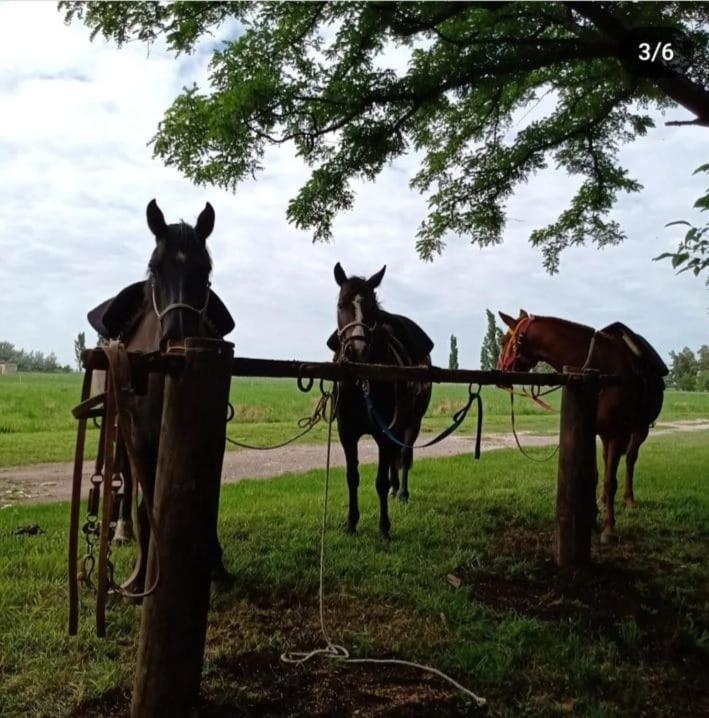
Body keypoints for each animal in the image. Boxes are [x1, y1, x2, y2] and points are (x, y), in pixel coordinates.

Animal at [87, 200, 234, 592]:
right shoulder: (141, 439)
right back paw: (122, 531)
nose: (178, 339)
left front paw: (215, 564)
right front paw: (142, 579)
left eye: (205, 268)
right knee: (125, 477)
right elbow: (147, 502)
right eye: (155, 267)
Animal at [326, 264, 432, 540]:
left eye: (372, 308)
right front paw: (351, 523)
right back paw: (396, 490)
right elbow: (352, 477)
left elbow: (380, 481)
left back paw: (402, 493)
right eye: (340, 304)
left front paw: (384, 527)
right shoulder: (347, 433)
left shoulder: (384, 433)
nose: (357, 350)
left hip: (412, 423)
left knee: (404, 454)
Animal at [496, 310, 668, 544]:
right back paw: (603, 500)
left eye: (504, 340)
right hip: (608, 435)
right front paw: (593, 517)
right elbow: (595, 475)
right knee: (608, 461)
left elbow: (610, 481)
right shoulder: (593, 430)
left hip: (640, 429)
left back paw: (629, 500)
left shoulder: (618, 434)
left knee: (630, 459)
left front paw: (609, 529)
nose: (499, 372)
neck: (601, 371)